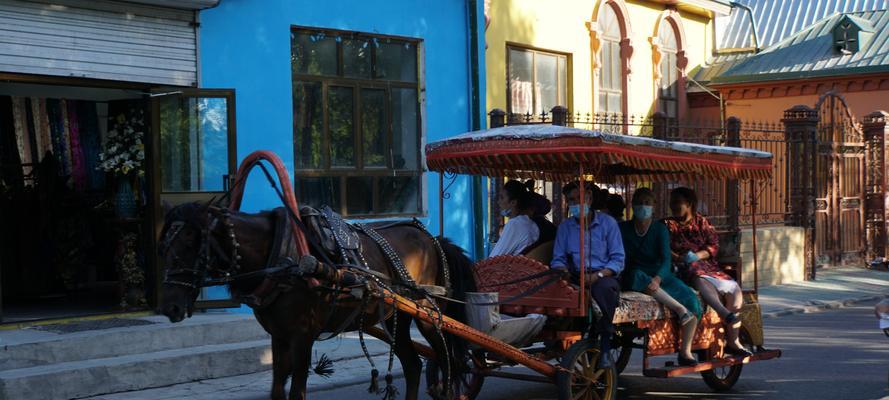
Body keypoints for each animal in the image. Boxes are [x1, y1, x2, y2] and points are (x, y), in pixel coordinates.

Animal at [156, 203, 476, 400]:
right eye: (164, 246)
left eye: (190, 242)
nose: (170, 307)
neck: (282, 260)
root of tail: (432, 237)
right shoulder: (278, 336)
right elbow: (277, 390)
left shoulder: (302, 336)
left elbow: (297, 391)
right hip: (397, 317)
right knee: (413, 366)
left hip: (429, 315)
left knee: (449, 362)